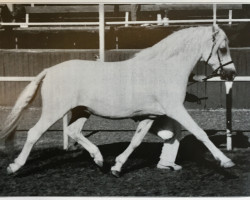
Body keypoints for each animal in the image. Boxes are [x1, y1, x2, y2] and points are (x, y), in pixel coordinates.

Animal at [0, 25, 236, 177]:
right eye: (223, 48)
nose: (231, 74)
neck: (164, 70)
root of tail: (49, 70)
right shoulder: (175, 109)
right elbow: (200, 133)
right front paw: (226, 161)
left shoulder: (150, 115)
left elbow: (136, 140)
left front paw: (117, 167)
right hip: (54, 111)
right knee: (34, 133)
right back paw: (14, 167)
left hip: (81, 111)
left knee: (73, 131)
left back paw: (99, 159)